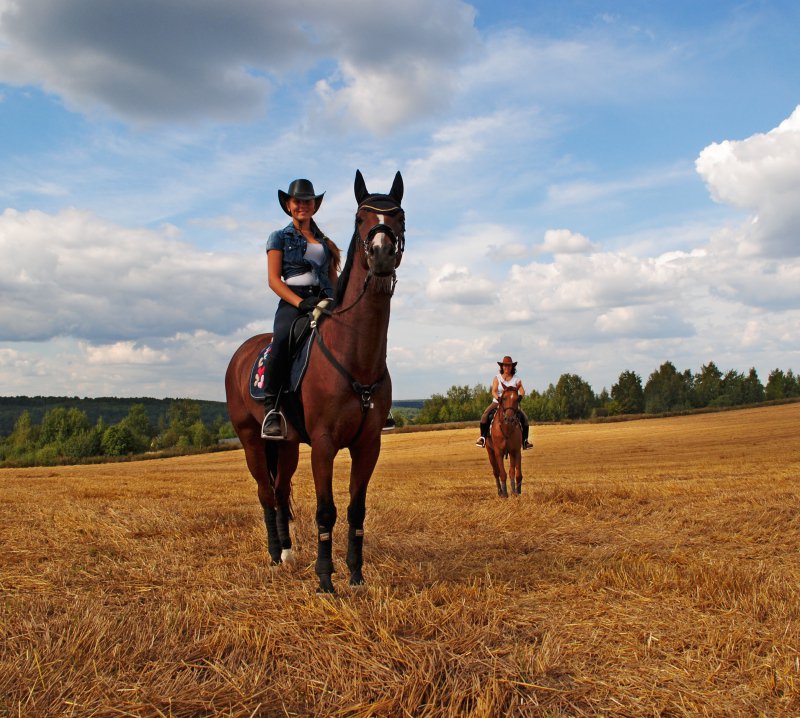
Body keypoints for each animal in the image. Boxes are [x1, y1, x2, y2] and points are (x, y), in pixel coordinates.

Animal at [223, 170, 404, 596]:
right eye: (360, 218)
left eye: (400, 216)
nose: (382, 254)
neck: (356, 354)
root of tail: (241, 353)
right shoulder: (323, 445)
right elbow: (326, 512)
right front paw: (325, 580)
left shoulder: (368, 445)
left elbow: (356, 510)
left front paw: (355, 575)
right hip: (251, 440)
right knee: (265, 493)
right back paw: (275, 556)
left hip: (286, 445)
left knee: (279, 490)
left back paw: (288, 551)